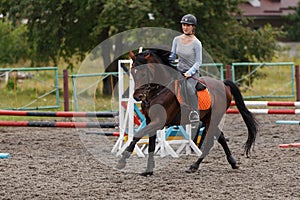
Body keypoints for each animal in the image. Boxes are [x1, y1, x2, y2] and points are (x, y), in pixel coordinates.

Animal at [115, 49, 258, 176]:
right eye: (133, 72)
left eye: (144, 73)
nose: (137, 96)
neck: (158, 91)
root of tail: (223, 83)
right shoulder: (151, 121)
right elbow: (149, 144)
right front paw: (148, 170)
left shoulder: (158, 122)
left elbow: (137, 136)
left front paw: (122, 161)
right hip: (207, 118)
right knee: (221, 137)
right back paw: (231, 162)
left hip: (214, 117)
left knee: (212, 141)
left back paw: (195, 165)